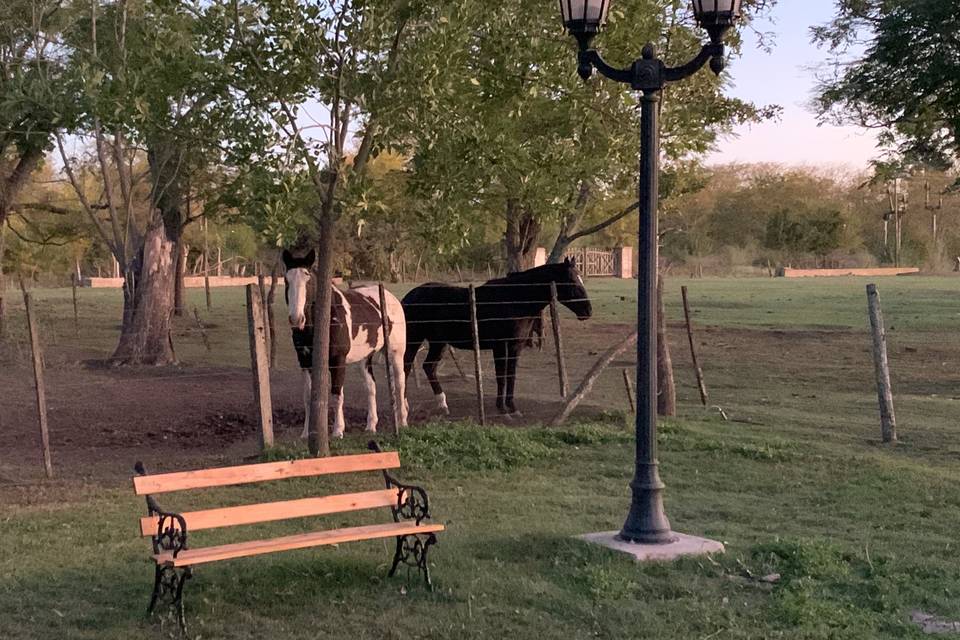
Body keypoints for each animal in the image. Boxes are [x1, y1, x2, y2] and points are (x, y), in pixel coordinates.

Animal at [284, 250, 406, 440]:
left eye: (308, 279)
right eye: (286, 280)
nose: (296, 319)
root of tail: (392, 298)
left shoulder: (337, 361)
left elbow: (337, 394)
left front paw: (337, 430)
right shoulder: (305, 362)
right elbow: (308, 396)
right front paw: (306, 433)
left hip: (396, 352)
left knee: (400, 384)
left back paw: (402, 422)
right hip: (364, 359)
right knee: (371, 386)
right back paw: (371, 425)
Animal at [400, 258, 592, 416]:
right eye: (572, 281)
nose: (588, 311)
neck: (514, 301)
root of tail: (409, 297)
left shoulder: (515, 347)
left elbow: (510, 376)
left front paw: (512, 407)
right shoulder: (500, 346)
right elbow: (501, 377)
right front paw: (503, 408)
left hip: (438, 342)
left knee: (429, 367)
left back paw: (443, 404)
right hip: (414, 340)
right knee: (406, 367)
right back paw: (405, 405)